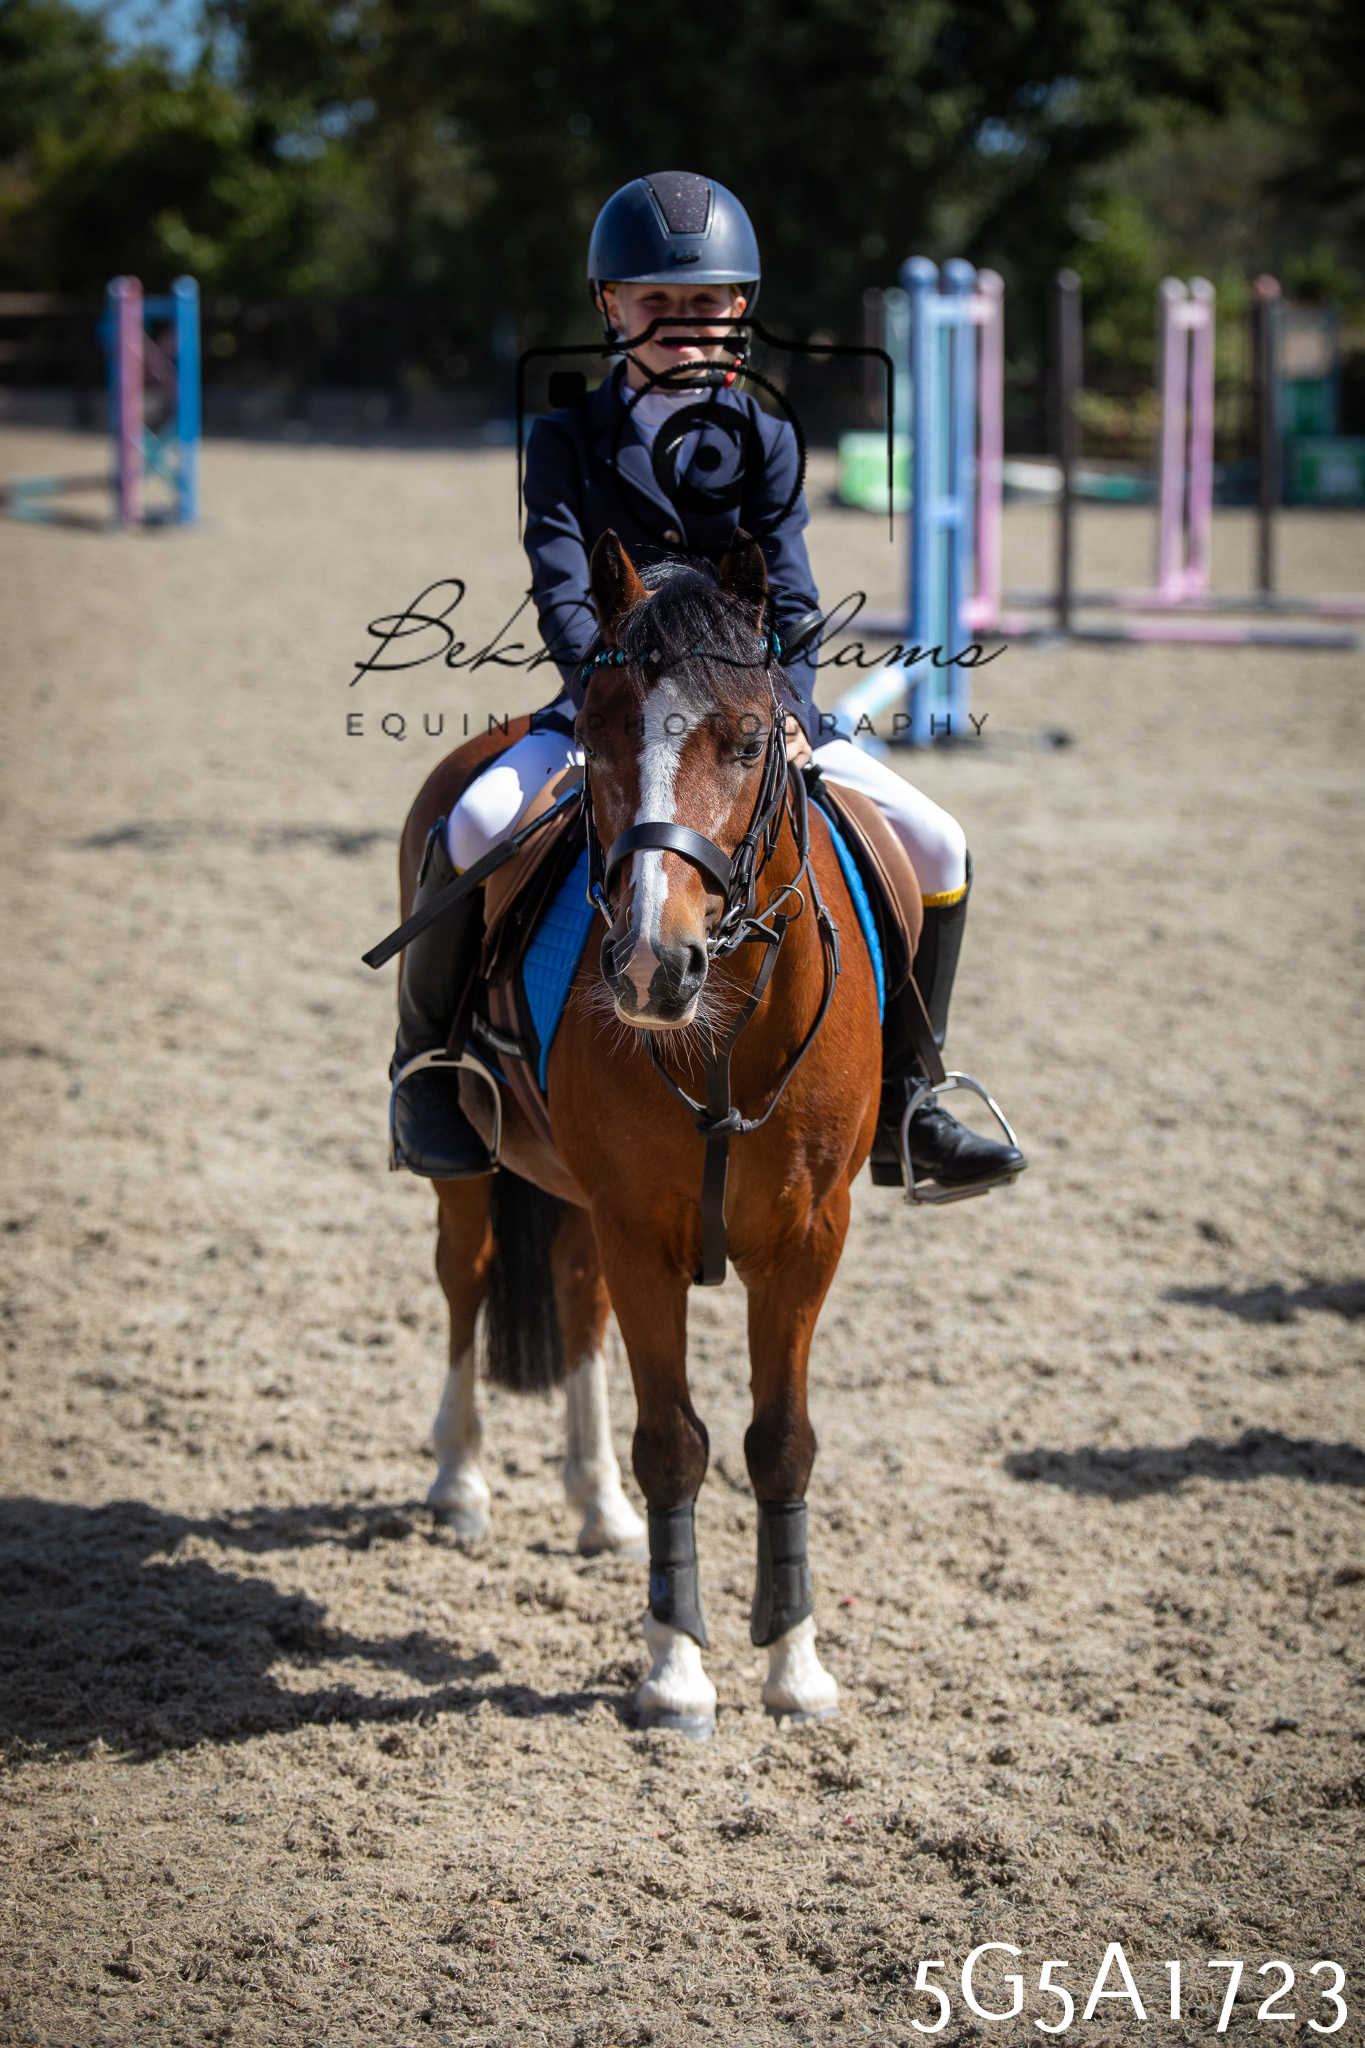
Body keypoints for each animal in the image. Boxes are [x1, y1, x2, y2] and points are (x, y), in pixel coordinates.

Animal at [389, 529, 898, 1737]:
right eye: (602, 731)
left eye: (750, 739)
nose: (649, 967)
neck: (719, 1032)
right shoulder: (643, 1231)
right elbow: (675, 1440)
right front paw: (674, 1674)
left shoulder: (807, 1239)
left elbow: (779, 1441)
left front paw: (795, 1668)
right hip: (477, 1168)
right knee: (467, 1275)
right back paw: (461, 1483)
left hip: (581, 1202)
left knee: (573, 1300)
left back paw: (596, 1507)